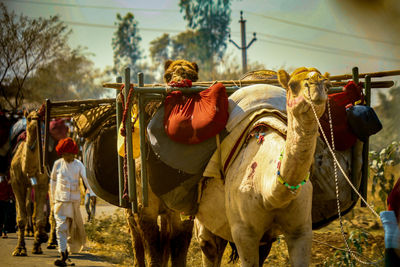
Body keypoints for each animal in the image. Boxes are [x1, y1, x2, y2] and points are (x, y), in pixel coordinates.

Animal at [9, 110, 48, 255]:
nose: (35, 123)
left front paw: (39, 242)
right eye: (30, 118)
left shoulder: (42, 184)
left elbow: (40, 218)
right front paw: (19, 249)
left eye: (40, 117)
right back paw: (27, 232)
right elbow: (21, 217)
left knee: (29, 204)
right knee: (24, 205)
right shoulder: (16, 184)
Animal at [195, 67, 330, 267]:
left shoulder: (301, 229)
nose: (316, 85)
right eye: (292, 85)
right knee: (209, 245)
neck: (270, 193)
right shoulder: (243, 233)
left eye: (325, 83)